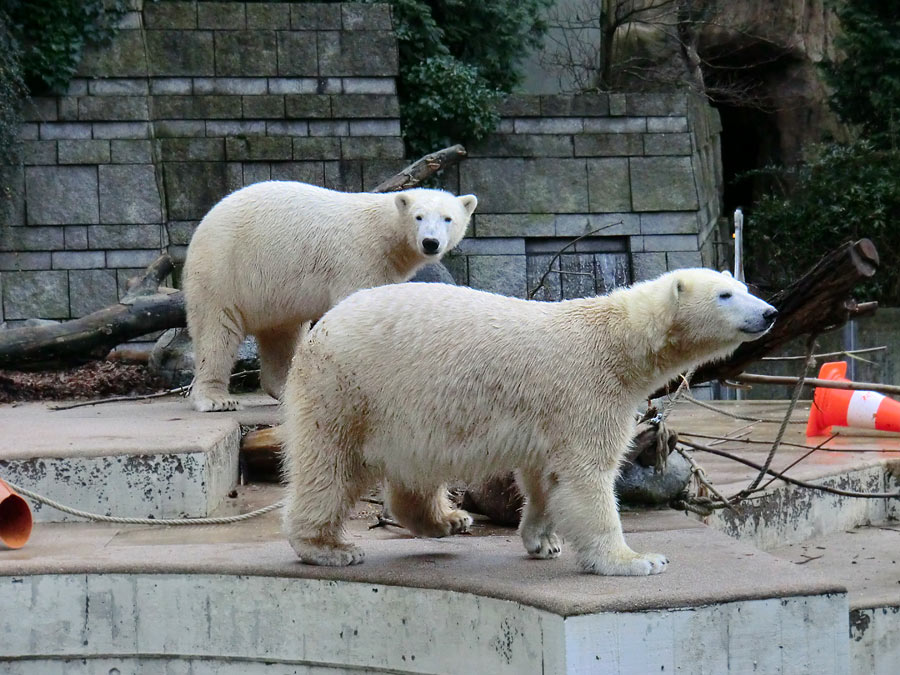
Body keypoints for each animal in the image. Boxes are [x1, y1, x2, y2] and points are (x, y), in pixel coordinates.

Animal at [182, 181, 478, 412]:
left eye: (447, 218)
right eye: (418, 217)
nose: (430, 242)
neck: (384, 234)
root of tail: (205, 222)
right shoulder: (358, 259)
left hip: (274, 292)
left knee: (282, 335)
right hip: (224, 268)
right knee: (216, 331)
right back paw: (216, 399)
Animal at [284, 270, 776, 576]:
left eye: (744, 286)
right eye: (725, 295)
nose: (769, 312)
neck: (615, 340)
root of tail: (320, 326)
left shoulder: (552, 411)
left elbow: (545, 477)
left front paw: (543, 541)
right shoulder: (586, 390)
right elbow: (586, 476)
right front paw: (637, 560)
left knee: (414, 469)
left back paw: (447, 520)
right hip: (349, 389)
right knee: (329, 465)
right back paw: (329, 548)